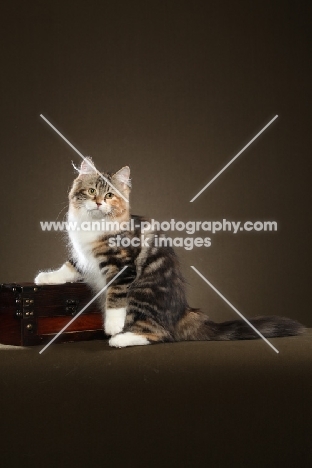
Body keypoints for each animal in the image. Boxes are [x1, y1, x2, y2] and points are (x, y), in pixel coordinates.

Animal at [34, 159, 304, 346]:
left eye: (109, 195)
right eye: (92, 191)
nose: (99, 202)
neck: (94, 225)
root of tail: (183, 311)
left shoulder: (122, 265)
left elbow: (115, 297)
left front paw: (112, 325)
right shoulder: (81, 254)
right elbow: (69, 266)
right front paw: (46, 277)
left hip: (143, 290)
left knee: (161, 334)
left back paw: (121, 339)